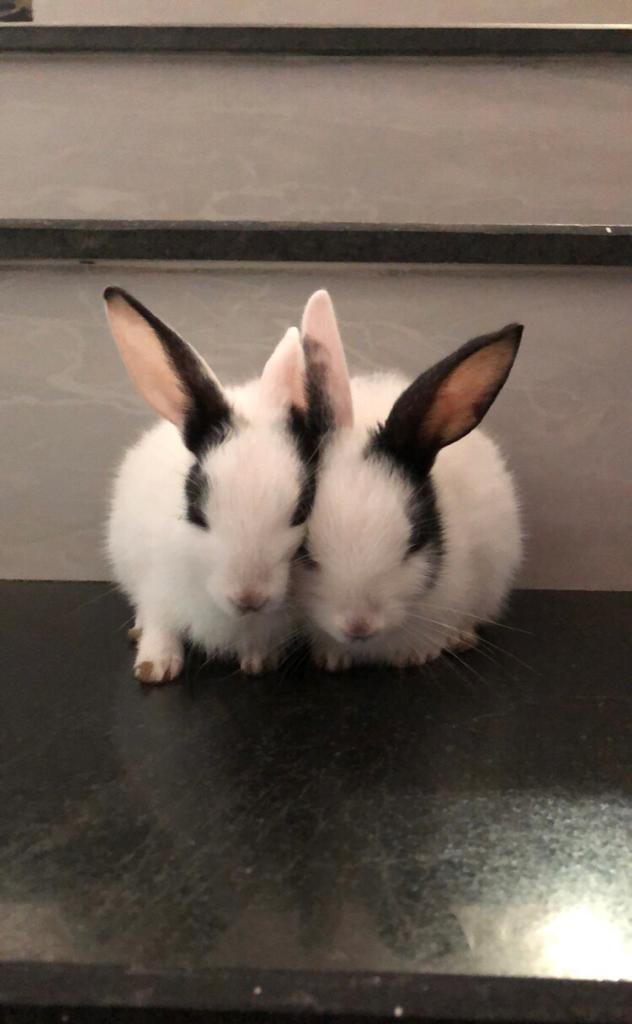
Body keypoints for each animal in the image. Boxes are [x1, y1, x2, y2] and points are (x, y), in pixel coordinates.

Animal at [105, 286, 316, 683]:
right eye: (196, 512)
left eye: (300, 512)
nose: (249, 597)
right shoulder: (156, 586)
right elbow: (160, 625)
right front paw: (155, 667)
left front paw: (259, 661)